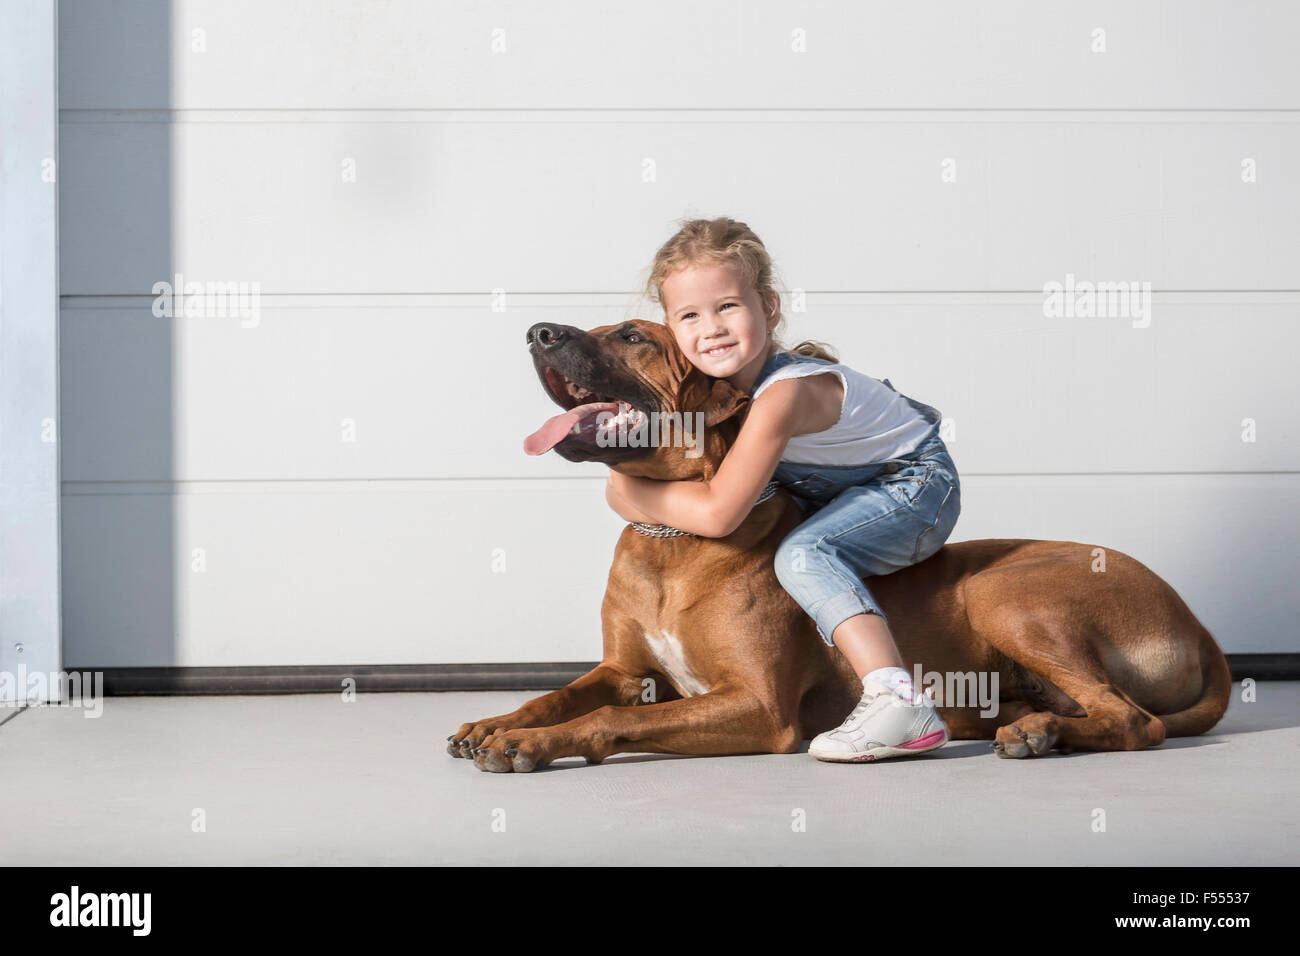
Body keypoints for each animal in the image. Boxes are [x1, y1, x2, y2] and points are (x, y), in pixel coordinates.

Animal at [447, 321, 1227, 770]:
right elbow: (561, 694)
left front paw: (528, 745)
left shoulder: (758, 706)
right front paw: (497, 722)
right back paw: (1036, 727)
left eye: (634, 336)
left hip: (1008, 590)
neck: (672, 539)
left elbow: (610, 717)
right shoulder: (623, 670)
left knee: (1135, 720)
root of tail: (1201, 625)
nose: (537, 332)